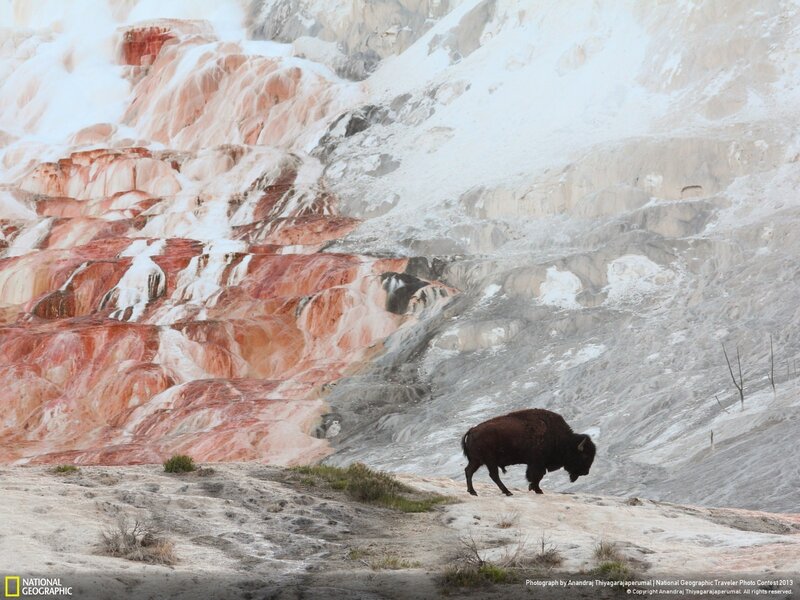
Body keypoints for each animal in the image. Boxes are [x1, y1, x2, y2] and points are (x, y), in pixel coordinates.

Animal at [461, 408, 596, 496]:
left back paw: (473, 492)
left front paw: (534, 488)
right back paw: (507, 492)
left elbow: (537, 476)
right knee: (493, 475)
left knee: (469, 471)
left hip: (477, 461)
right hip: (489, 461)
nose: (586, 472)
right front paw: (537, 489)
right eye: (585, 456)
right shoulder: (537, 463)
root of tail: (472, 430)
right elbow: (537, 476)